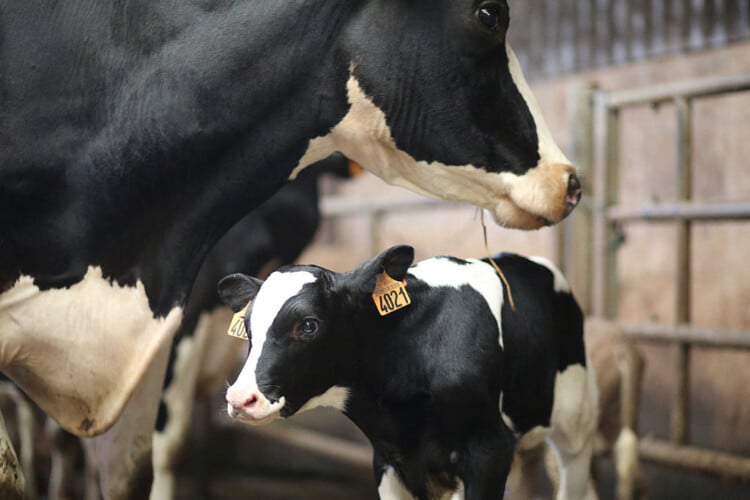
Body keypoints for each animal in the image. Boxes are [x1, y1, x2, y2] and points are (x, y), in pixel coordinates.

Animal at [220, 245, 598, 499]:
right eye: (248, 328)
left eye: (309, 325)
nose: (240, 398)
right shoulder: (388, 459)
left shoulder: (489, 449)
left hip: (575, 425)